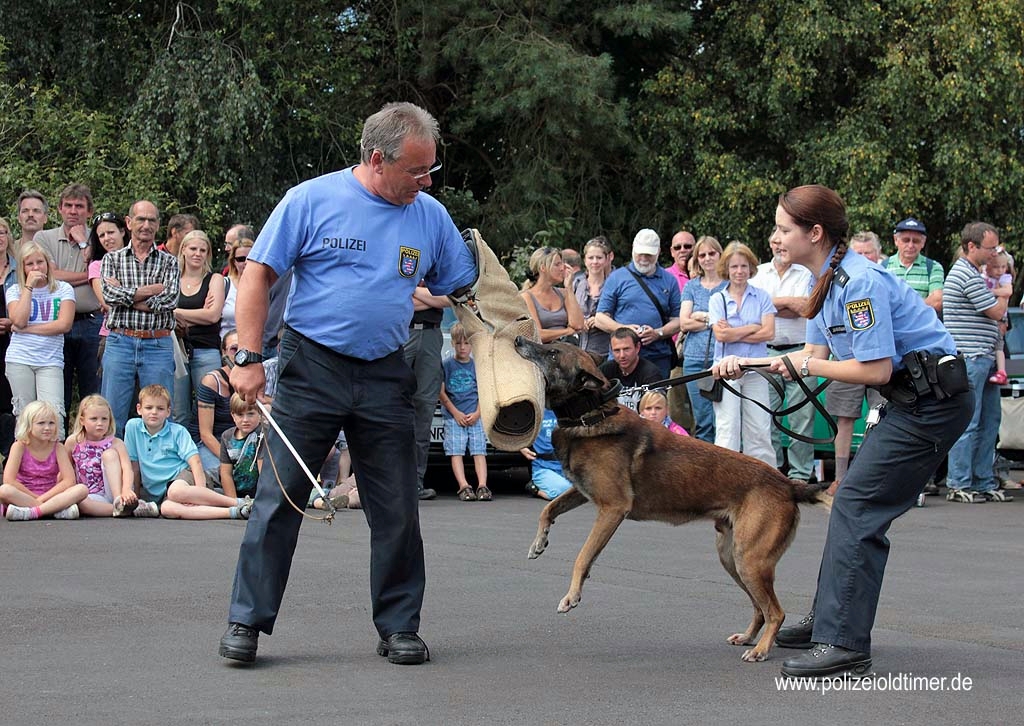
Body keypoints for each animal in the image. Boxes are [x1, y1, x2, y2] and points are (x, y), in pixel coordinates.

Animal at [516, 337, 827, 659]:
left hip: (750, 560)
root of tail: (788, 484)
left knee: (775, 612)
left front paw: (572, 595)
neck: (591, 414)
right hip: (733, 559)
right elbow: (549, 509)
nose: (518, 339)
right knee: (760, 608)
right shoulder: (583, 492)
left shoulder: (612, 508)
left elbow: (582, 555)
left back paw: (762, 649)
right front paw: (538, 543)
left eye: (553, 353)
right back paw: (748, 637)